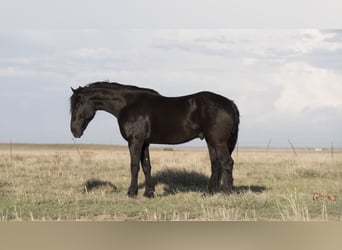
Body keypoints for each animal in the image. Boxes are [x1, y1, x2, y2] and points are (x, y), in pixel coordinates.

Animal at [70, 81, 239, 197]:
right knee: (216, 164)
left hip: (218, 141)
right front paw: (148, 193)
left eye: (77, 104)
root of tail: (229, 103)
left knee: (227, 162)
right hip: (211, 141)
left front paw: (132, 192)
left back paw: (227, 193)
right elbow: (146, 166)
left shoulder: (135, 141)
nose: (74, 131)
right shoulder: (145, 143)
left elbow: (134, 166)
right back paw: (209, 192)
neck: (128, 104)